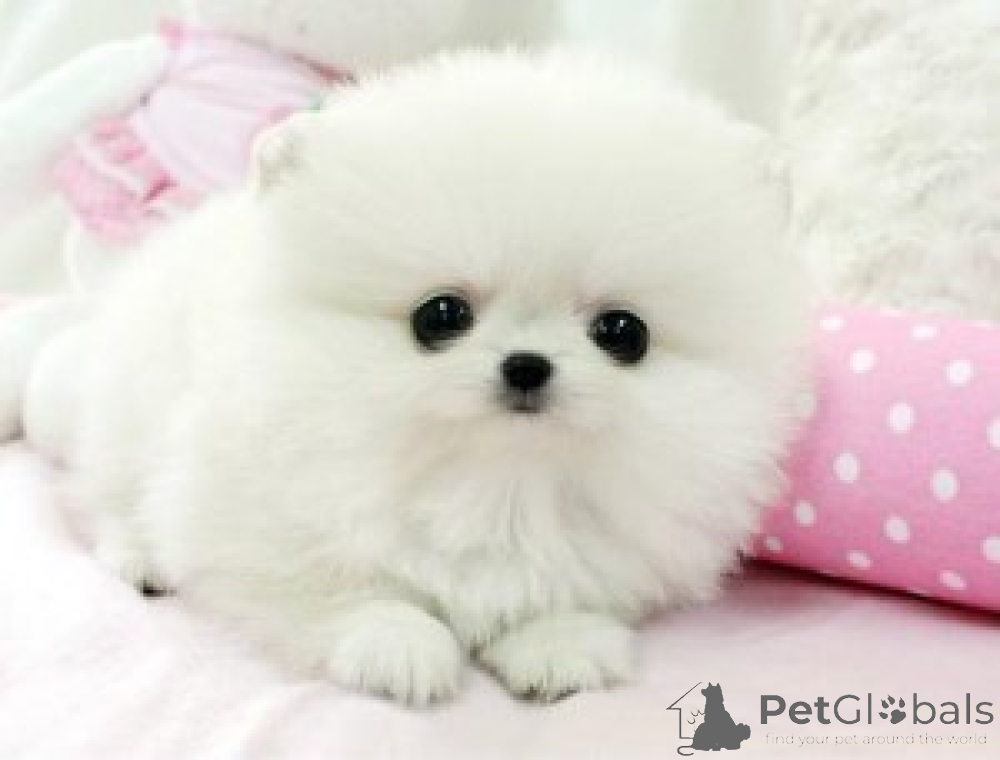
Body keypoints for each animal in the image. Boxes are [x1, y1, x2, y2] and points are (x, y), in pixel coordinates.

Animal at [6, 51, 805, 705]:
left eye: (622, 333)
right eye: (440, 316)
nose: (527, 365)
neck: (494, 483)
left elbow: (570, 592)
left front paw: (559, 642)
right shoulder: (253, 515)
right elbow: (338, 590)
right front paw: (398, 644)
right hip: (126, 411)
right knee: (109, 493)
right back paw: (139, 555)